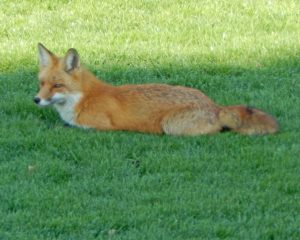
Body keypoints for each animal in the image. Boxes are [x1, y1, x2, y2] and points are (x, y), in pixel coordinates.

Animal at [33, 43, 278, 135]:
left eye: (57, 85)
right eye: (42, 83)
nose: (36, 100)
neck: (84, 98)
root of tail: (214, 106)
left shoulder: (100, 127)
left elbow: (68, 127)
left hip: (170, 126)